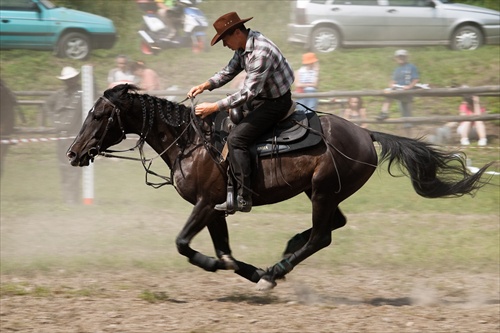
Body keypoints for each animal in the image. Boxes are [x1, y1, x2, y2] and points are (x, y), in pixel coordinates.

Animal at [66, 84, 492, 290]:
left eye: (99, 114)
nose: (73, 152)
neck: (191, 142)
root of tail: (365, 132)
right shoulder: (216, 209)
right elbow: (225, 252)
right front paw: (250, 271)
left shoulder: (204, 204)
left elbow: (185, 244)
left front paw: (243, 271)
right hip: (323, 192)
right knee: (333, 226)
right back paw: (282, 256)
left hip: (322, 192)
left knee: (323, 235)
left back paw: (278, 269)